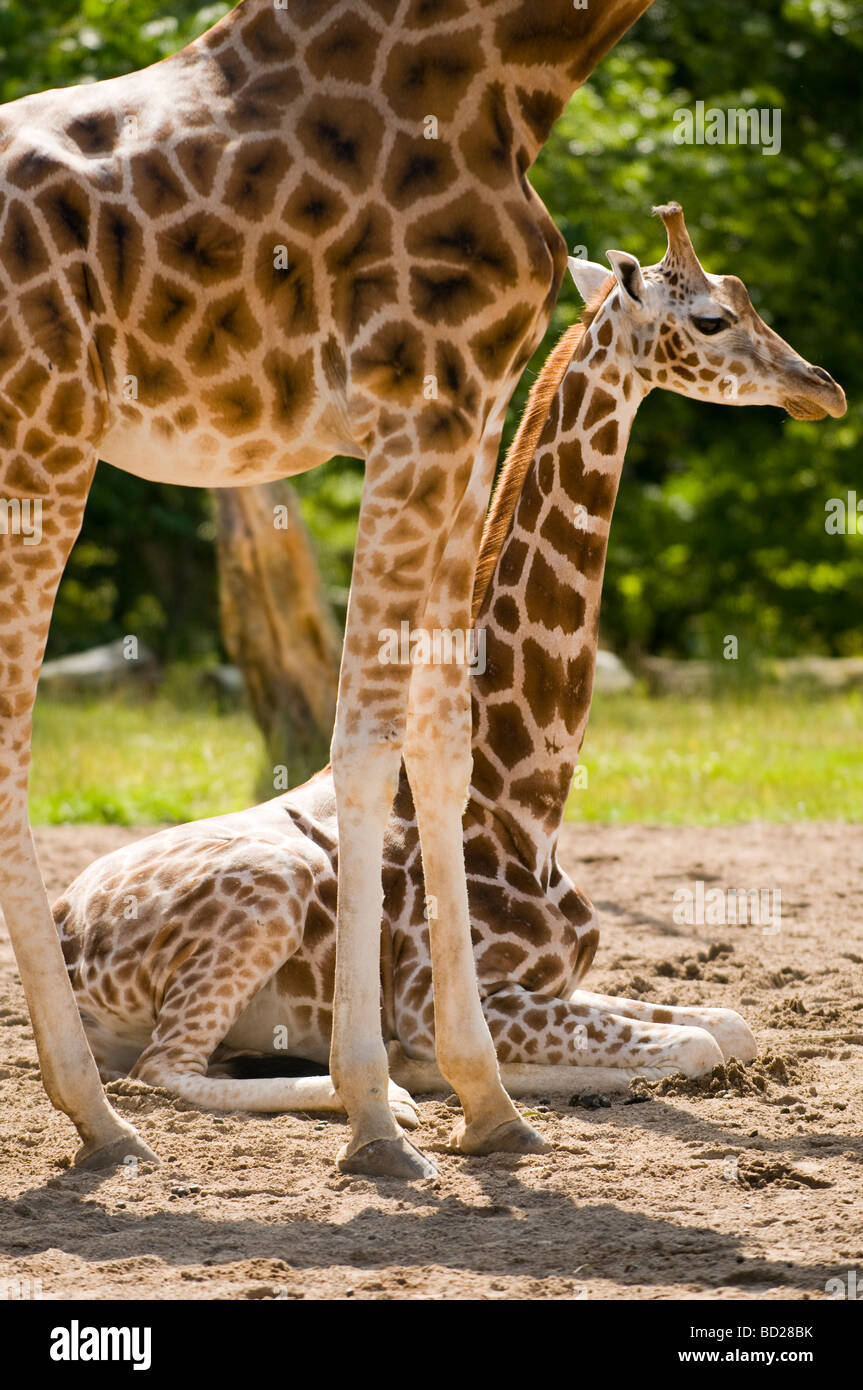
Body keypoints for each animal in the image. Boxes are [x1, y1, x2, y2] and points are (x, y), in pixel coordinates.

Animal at [0, 0, 653, 1173]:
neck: (511, 74)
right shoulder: (415, 410)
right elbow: (362, 744)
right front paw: (374, 1115)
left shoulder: (467, 421)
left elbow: (436, 744)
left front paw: (489, 1103)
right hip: (46, 438)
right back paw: (101, 1116)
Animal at [53, 202, 839, 1117]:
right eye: (712, 319)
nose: (822, 385)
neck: (523, 806)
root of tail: (66, 929)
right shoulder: (449, 991)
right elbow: (690, 1047)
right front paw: (449, 1073)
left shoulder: (558, 982)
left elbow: (728, 1024)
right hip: (265, 889)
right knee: (163, 1070)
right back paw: (382, 1096)